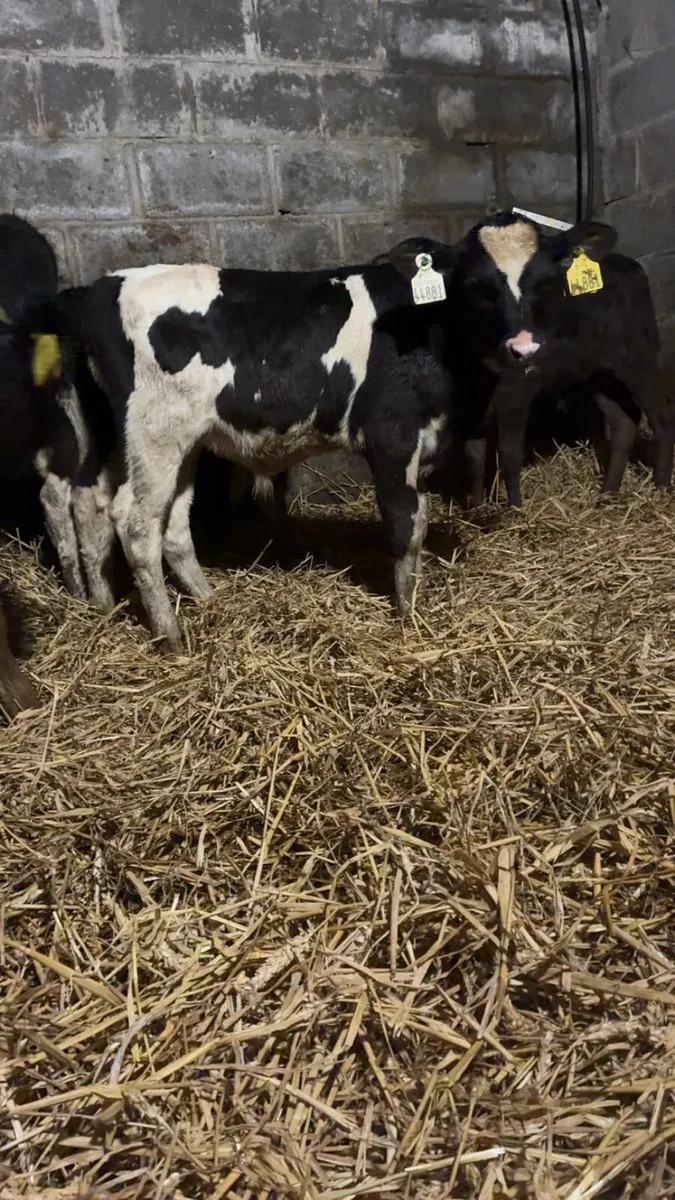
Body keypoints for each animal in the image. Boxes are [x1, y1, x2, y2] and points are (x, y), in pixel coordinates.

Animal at [51, 258, 461, 652]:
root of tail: (97, 289)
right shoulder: (392, 433)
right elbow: (407, 523)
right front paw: (408, 616)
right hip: (155, 435)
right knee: (136, 524)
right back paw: (170, 636)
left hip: (145, 441)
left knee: (110, 509)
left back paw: (144, 603)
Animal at [376, 213, 675, 509]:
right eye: (475, 289)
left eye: (545, 284)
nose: (524, 347)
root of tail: (627, 264)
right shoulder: (471, 395)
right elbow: (474, 454)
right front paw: (477, 509)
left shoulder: (518, 386)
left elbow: (509, 454)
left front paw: (515, 510)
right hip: (596, 372)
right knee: (624, 422)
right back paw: (608, 493)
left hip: (637, 359)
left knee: (661, 417)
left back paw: (660, 486)